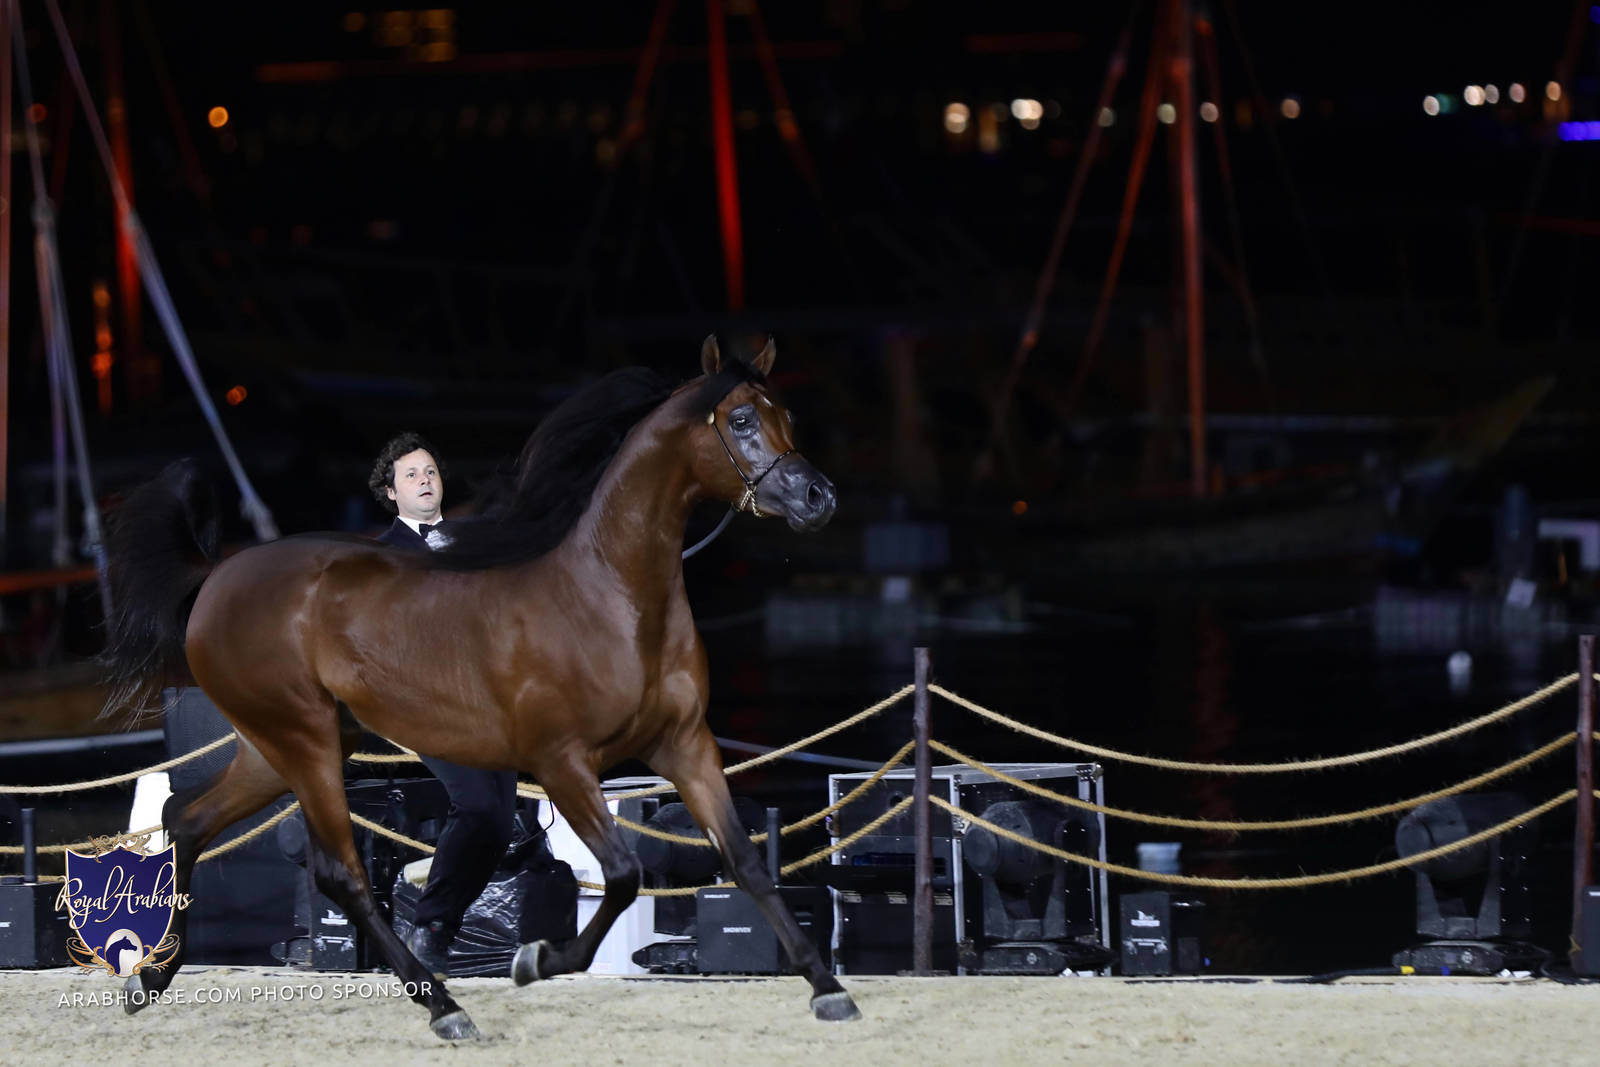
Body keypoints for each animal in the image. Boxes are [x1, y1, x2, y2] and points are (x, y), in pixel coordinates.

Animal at [99, 336, 855, 1039]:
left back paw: (153, 978)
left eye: (785, 414)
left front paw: (828, 989)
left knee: (186, 818)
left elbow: (745, 861)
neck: (610, 596)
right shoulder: (563, 763)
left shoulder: (685, 745)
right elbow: (621, 874)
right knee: (340, 872)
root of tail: (215, 579)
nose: (819, 498)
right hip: (301, 739)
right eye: (741, 419)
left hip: (280, 745)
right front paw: (535, 960)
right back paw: (442, 1004)